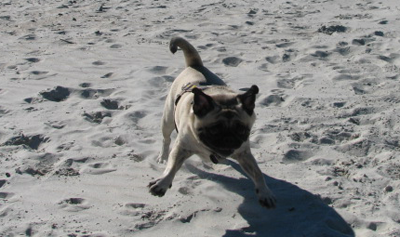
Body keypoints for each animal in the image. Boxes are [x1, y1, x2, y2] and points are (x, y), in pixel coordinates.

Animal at [148, 37, 276, 209]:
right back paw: (162, 156)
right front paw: (162, 183)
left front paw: (265, 192)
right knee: (166, 139)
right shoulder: (181, 148)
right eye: (214, 130)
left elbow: (258, 173)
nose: (228, 138)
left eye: (242, 130)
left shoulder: (244, 153)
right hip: (167, 120)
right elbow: (171, 167)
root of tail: (195, 65)